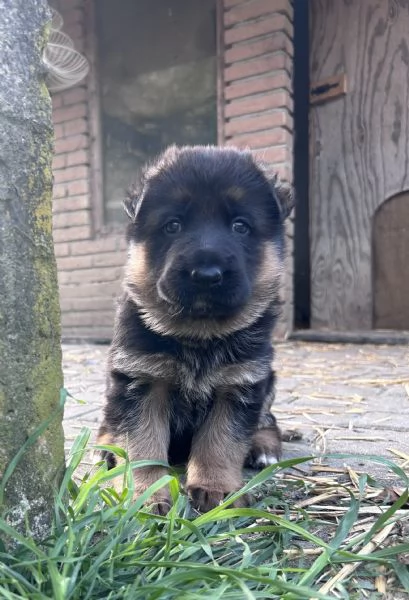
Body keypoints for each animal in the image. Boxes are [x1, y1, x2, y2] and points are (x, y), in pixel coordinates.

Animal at [97, 144, 292, 510]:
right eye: (173, 225)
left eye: (240, 227)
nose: (206, 275)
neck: (199, 335)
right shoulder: (140, 381)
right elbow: (142, 443)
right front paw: (146, 493)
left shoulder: (240, 383)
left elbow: (222, 440)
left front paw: (216, 488)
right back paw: (105, 446)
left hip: (268, 382)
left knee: (267, 420)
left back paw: (263, 447)